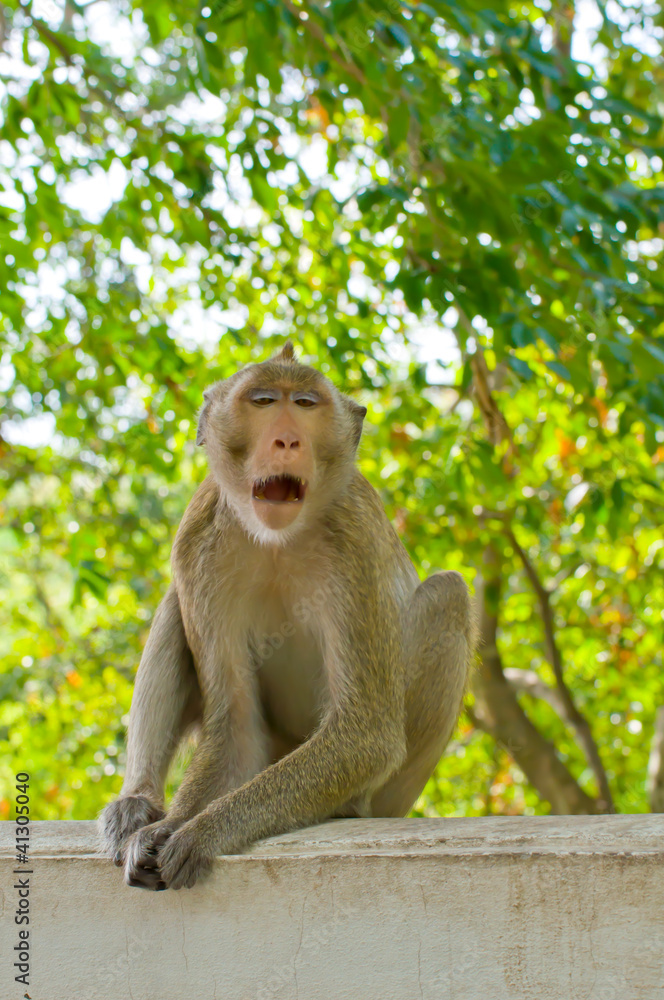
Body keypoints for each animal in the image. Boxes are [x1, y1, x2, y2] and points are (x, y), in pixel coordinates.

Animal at [99, 341, 476, 890]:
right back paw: (135, 802)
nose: (287, 440)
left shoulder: (354, 541)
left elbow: (365, 734)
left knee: (449, 594)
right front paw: (168, 825)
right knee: (174, 603)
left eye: (305, 404)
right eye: (262, 401)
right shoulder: (197, 540)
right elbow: (234, 730)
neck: (278, 538)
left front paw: (204, 830)